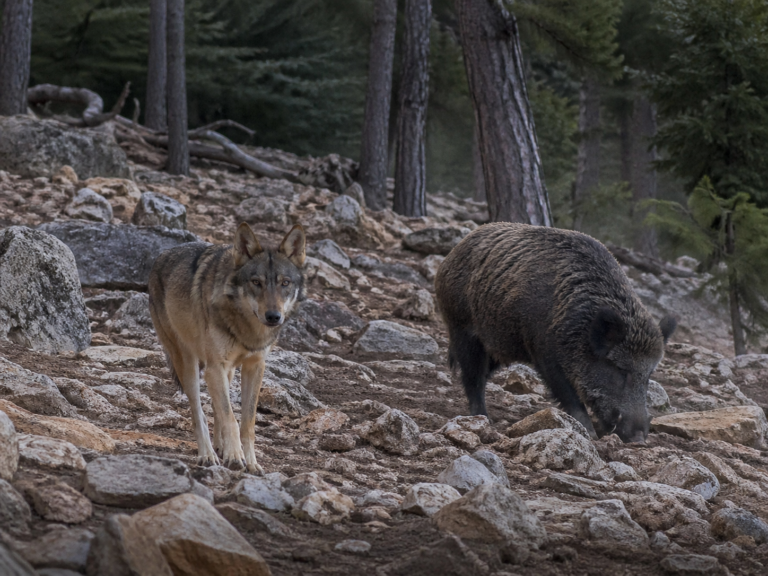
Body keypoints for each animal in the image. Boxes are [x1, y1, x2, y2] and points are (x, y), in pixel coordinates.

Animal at [148, 222, 306, 472]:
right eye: (256, 282)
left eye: (285, 283)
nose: (273, 316)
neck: (247, 330)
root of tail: (162, 255)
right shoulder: (215, 367)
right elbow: (230, 418)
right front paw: (234, 457)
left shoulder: (254, 366)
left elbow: (247, 422)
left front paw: (251, 462)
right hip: (188, 364)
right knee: (199, 413)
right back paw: (208, 455)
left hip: (228, 371)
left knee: (216, 408)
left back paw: (220, 448)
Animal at [435, 223, 676, 443]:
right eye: (620, 370)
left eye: (648, 375)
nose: (639, 439)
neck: (580, 329)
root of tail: (451, 255)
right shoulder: (544, 352)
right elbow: (568, 394)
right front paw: (589, 433)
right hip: (462, 328)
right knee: (472, 376)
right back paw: (482, 418)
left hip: (499, 345)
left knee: (483, 373)